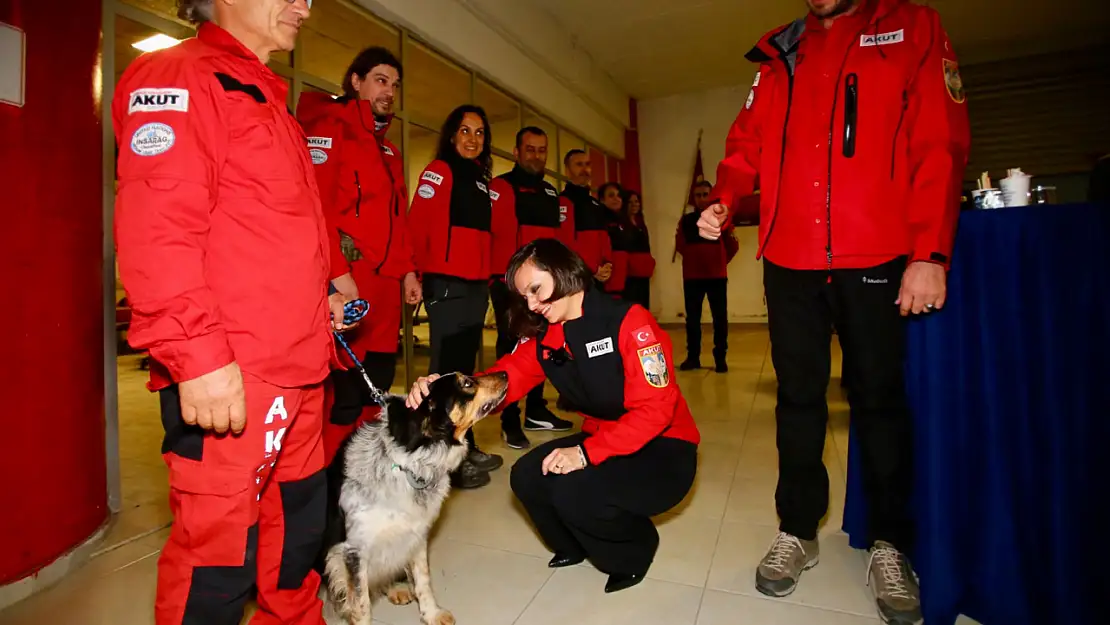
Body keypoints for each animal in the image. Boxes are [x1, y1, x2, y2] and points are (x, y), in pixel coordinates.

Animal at [319, 375, 508, 621]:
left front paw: (432, 614)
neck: (408, 467)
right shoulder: (353, 552)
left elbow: (423, 580)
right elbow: (362, 605)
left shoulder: (416, 533)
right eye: (466, 383)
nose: (504, 374)